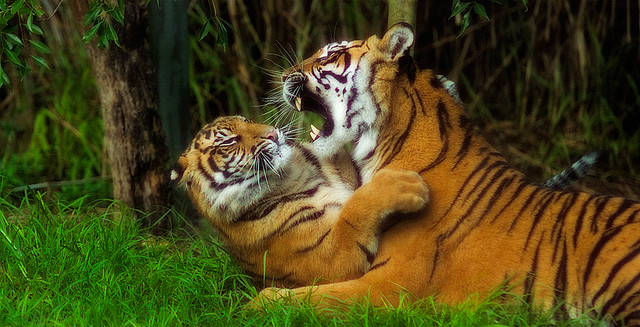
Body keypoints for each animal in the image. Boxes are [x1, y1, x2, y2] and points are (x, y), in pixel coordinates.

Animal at [172, 116, 428, 288]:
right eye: (229, 142)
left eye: (248, 120)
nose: (273, 134)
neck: (292, 174)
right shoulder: (332, 257)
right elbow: (354, 209)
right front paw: (405, 185)